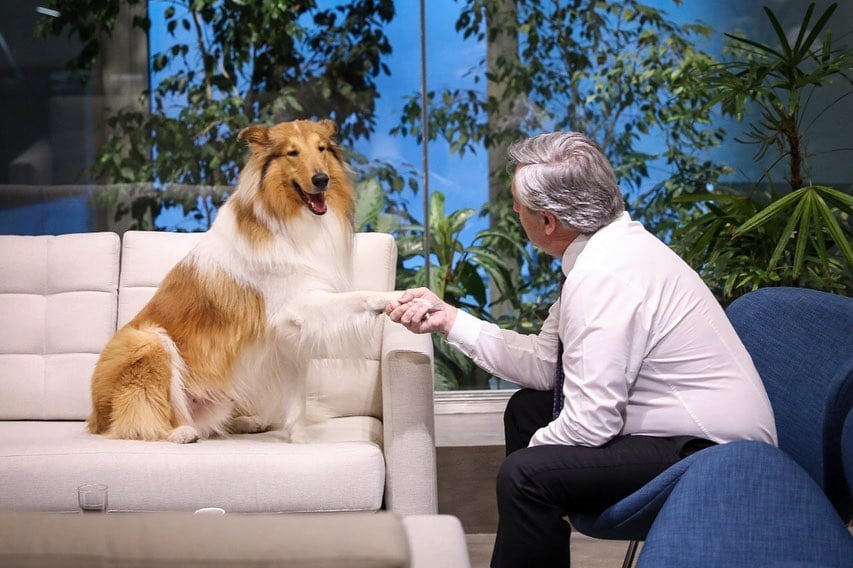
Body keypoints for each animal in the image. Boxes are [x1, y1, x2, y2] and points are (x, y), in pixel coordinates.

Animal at [88, 120, 402, 446]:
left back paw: (249, 422)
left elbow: (296, 403)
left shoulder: (288, 339)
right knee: (138, 420)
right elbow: (358, 295)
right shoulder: (297, 305)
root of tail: (95, 418)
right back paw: (179, 433)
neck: (288, 221)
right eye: (292, 153)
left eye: (322, 148)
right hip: (148, 342)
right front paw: (396, 296)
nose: (321, 180)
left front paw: (301, 442)